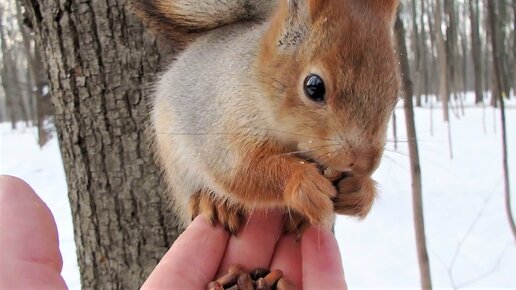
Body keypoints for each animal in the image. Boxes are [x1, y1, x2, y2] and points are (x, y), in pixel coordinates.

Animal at [131, 0, 402, 233]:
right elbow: (243, 170)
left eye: (395, 94)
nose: (365, 164)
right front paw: (303, 182)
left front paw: (359, 190)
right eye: (313, 87)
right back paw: (212, 203)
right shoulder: (225, 123)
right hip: (178, 166)